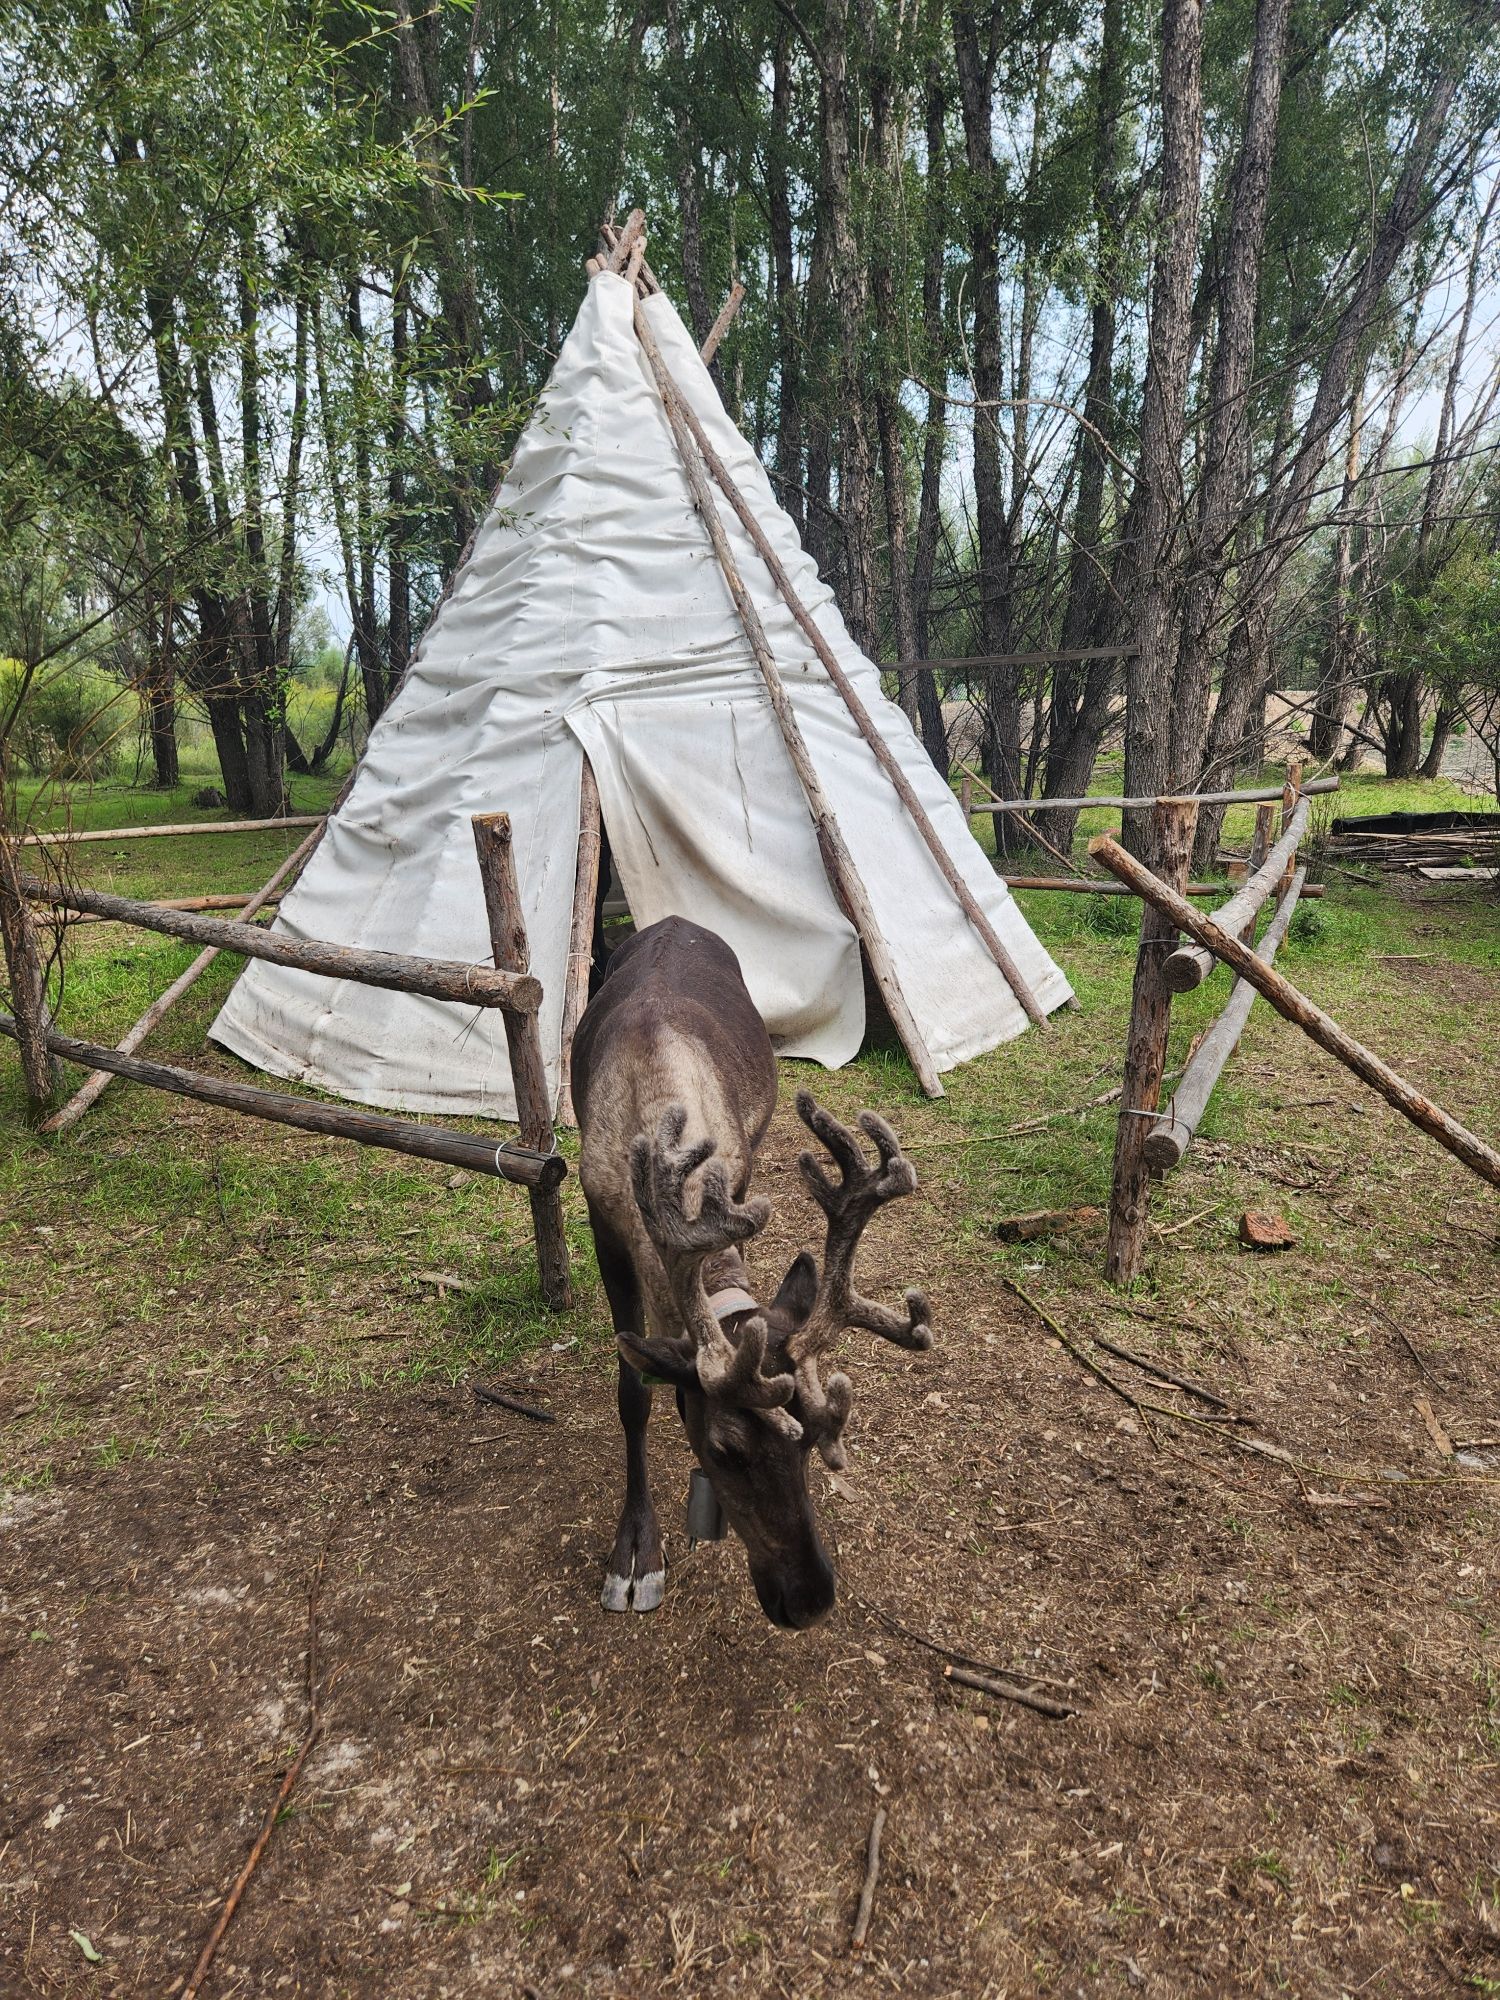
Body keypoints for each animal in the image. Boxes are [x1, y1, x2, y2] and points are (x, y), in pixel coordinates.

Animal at [569, 915, 932, 1629]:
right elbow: (633, 1392)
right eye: (725, 1450)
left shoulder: (734, 1183)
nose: (811, 1599)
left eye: (811, 1442)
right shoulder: (603, 1225)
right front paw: (635, 1553)